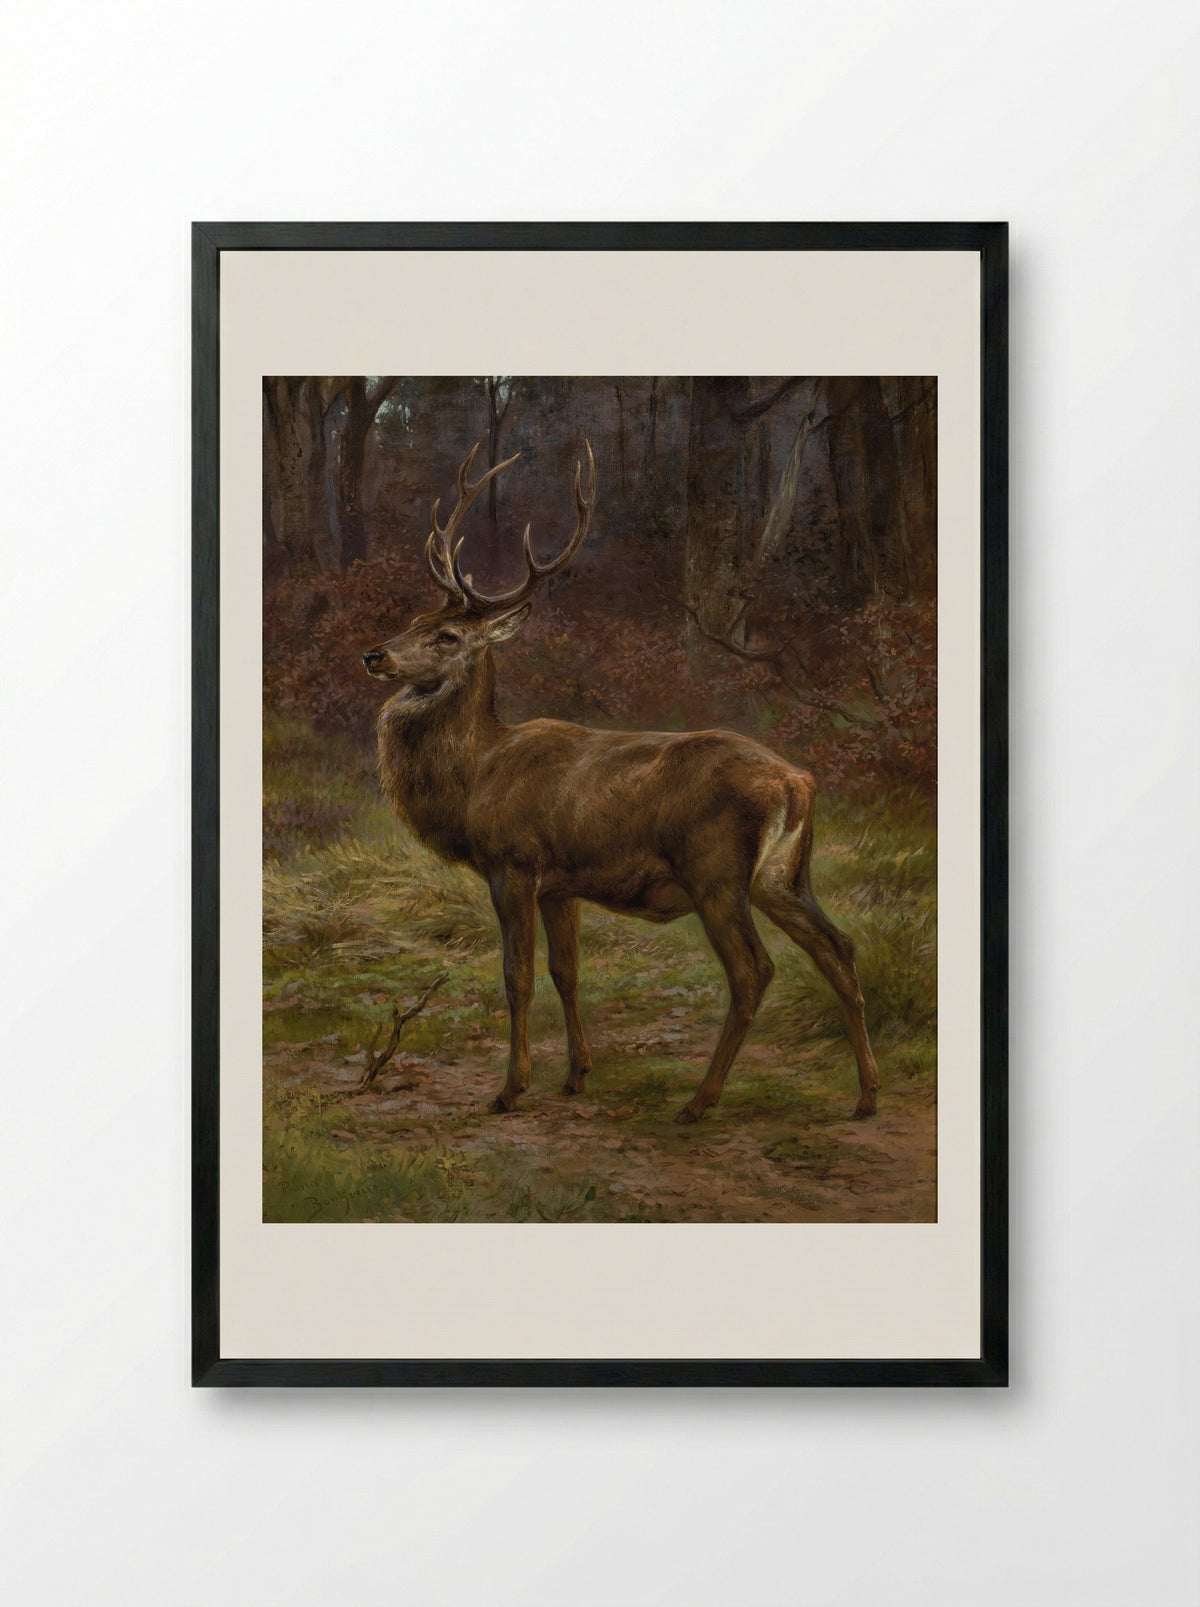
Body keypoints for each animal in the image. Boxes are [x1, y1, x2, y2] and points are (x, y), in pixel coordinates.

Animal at [362, 443, 880, 1124]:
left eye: (446, 635)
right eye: (414, 618)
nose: (375, 655)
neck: (477, 775)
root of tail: (797, 782)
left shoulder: (513, 862)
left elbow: (517, 976)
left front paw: (510, 1089)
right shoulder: (559, 884)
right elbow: (567, 972)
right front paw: (577, 1075)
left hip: (716, 871)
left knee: (754, 971)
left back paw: (699, 1101)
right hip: (785, 876)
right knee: (838, 949)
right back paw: (867, 1096)